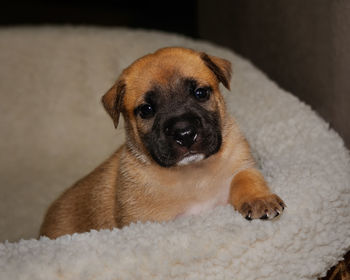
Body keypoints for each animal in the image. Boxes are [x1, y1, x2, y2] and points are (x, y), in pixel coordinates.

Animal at [39, 46, 284, 238]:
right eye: (146, 110)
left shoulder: (241, 164)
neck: (194, 175)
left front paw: (259, 199)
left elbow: (247, 179)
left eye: (200, 93)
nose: (185, 134)